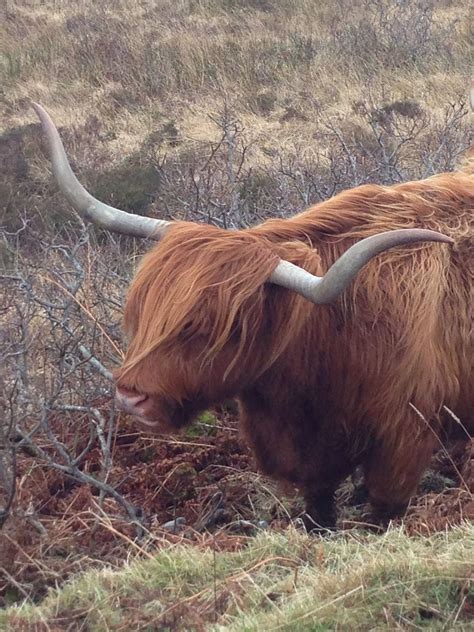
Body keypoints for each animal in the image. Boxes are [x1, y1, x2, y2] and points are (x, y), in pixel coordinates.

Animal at [33, 105, 470, 528]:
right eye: (141, 312)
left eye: (212, 328)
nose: (130, 396)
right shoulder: (313, 465)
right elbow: (318, 518)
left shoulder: (402, 446)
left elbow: (381, 518)